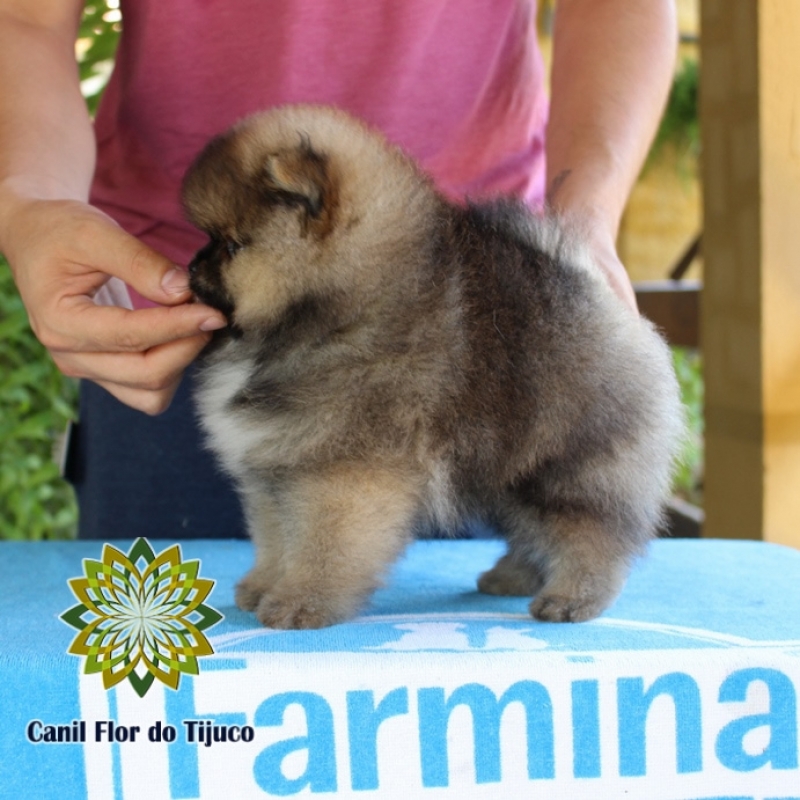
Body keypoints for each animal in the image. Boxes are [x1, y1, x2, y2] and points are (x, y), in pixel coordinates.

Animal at [184, 104, 684, 632]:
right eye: (210, 239)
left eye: (232, 246)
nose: (191, 267)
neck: (335, 312)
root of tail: (598, 294)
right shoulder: (270, 467)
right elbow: (275, 537)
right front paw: (261, 586)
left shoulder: (340, 470)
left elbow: (325, 545)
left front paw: (301, 602)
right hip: (511, 473)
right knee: (533, 530)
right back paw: (513, 576)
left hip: (569, 466)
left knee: (590, 532)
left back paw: (573, 597)